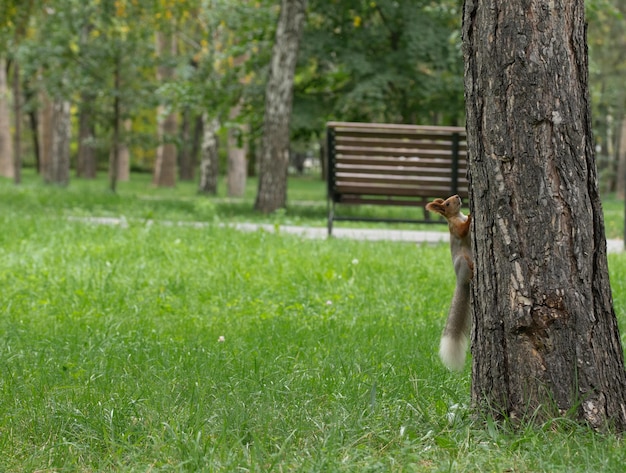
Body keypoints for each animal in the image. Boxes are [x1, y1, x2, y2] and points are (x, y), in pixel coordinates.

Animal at [424, 194, 472, 370]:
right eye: (448, 203)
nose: (457, 196)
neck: (458, 215)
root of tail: (461, 281)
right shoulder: (455, 228)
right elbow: (462, 230)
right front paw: (471, 216)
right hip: (462, 261)